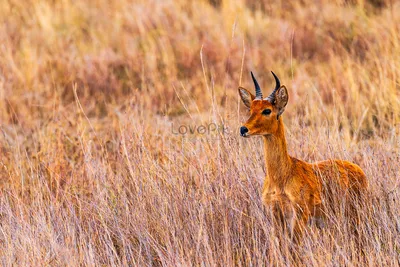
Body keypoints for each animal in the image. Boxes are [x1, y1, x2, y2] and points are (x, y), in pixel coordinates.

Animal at [239, 71, 368, 241]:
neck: (281, 177)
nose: (243, 129)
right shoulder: (275, 216)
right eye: (250, 109)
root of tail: (358, 169)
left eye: (267, 110)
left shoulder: (299, 217)